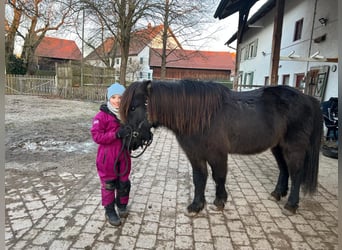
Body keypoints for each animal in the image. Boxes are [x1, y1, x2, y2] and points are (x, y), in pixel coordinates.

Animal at [119, 79, 322, 215]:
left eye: (133, 108)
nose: (126, 140)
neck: (200, 116)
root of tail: (308, 98)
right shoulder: (195, 155)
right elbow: (199, 178)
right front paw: (196, 206)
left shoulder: (217, 154)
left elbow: (219, 176)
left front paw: (219, 200)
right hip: (278, 147)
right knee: (284, 169)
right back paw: (277, 193)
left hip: (293, 148)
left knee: (296, 173)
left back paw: (291, 205)